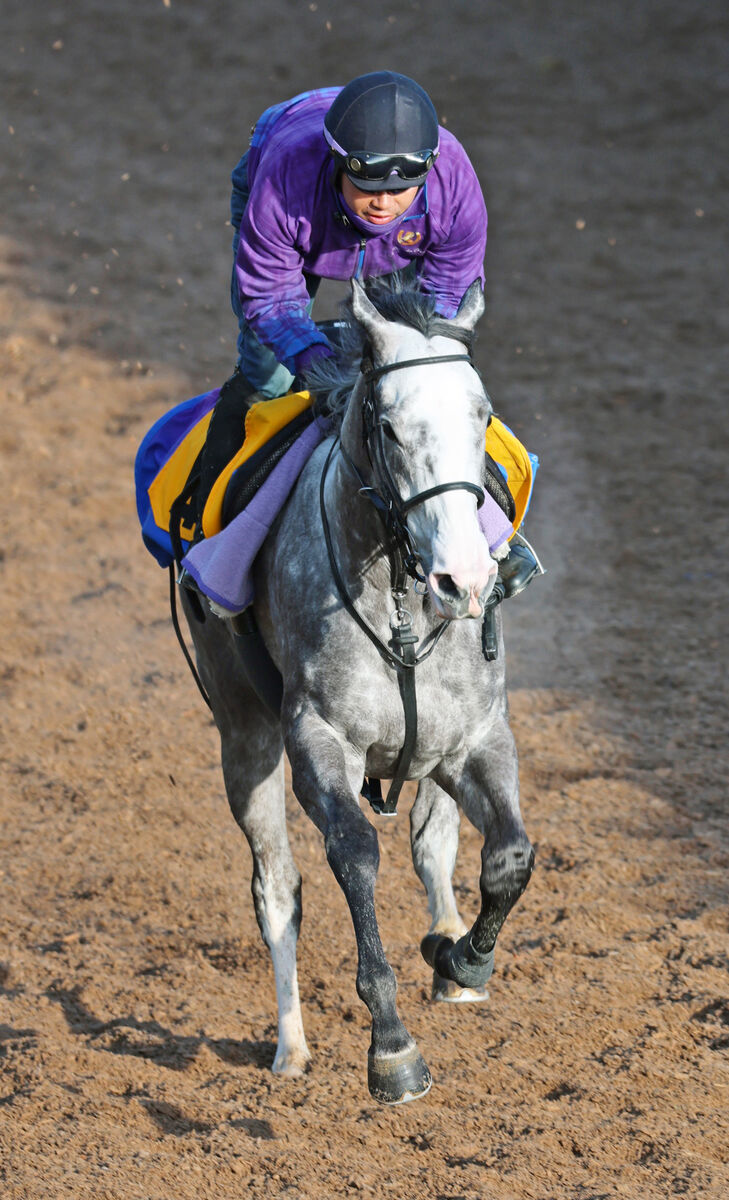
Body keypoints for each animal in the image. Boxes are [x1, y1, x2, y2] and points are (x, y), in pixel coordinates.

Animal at [179, 274, 535, 1104]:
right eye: (390, 427)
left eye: (481, 416)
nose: (464, 579)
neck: (401, 602)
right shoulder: (317, 742)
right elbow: (352, 856)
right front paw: (392, 1048)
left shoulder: (477, 737)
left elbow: (508, 855)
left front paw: (462, 958)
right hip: (244, 736)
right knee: (277, 889)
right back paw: (291, 1047)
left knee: (433, 840)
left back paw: (449, 948)